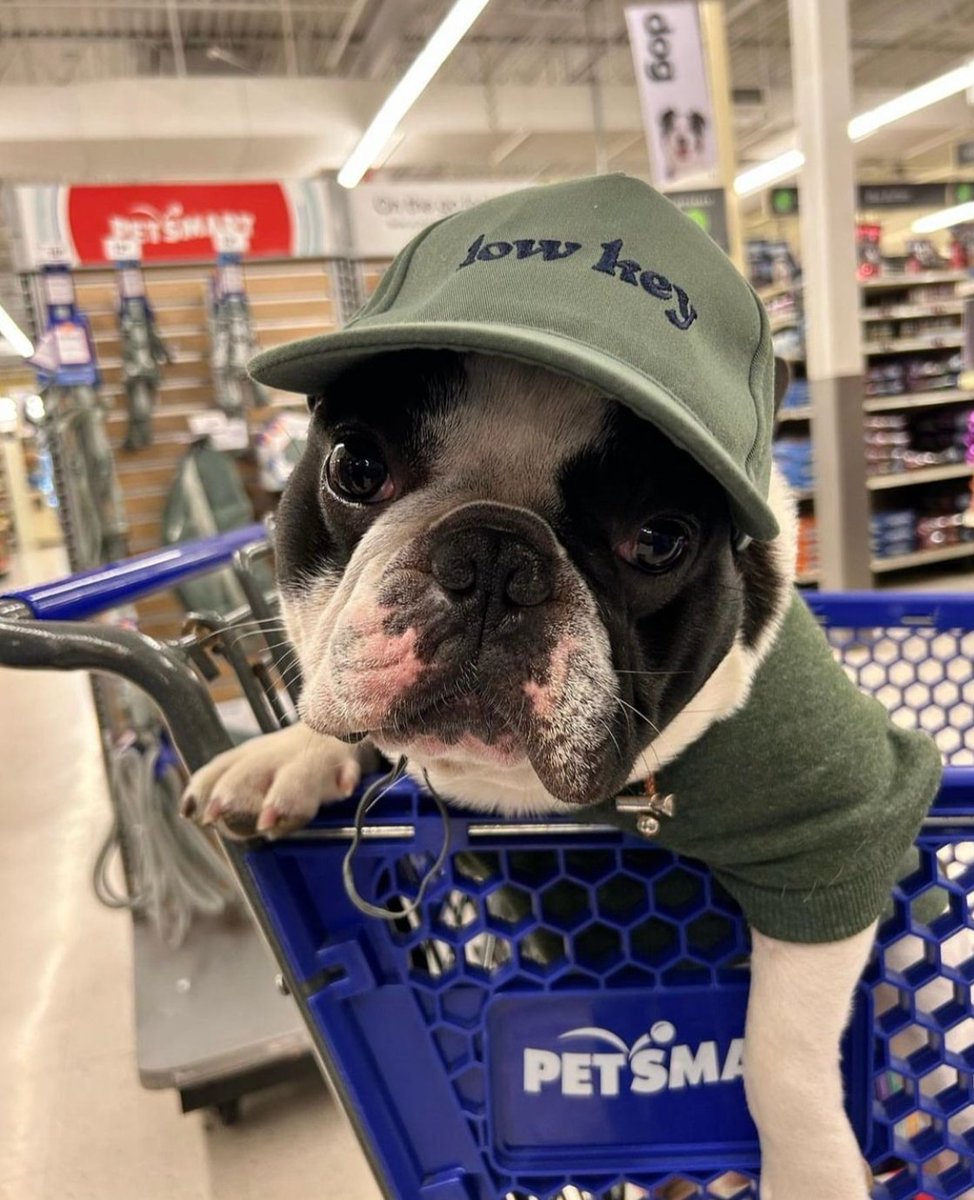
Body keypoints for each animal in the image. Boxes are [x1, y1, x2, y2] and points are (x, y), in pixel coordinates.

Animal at [182, 348, 873, 1200]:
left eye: (660, 541)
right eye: (355, 466)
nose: (493, 554)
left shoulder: (839, 842)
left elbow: (782, 1049)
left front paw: (812, 1175)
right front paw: (289, 753)